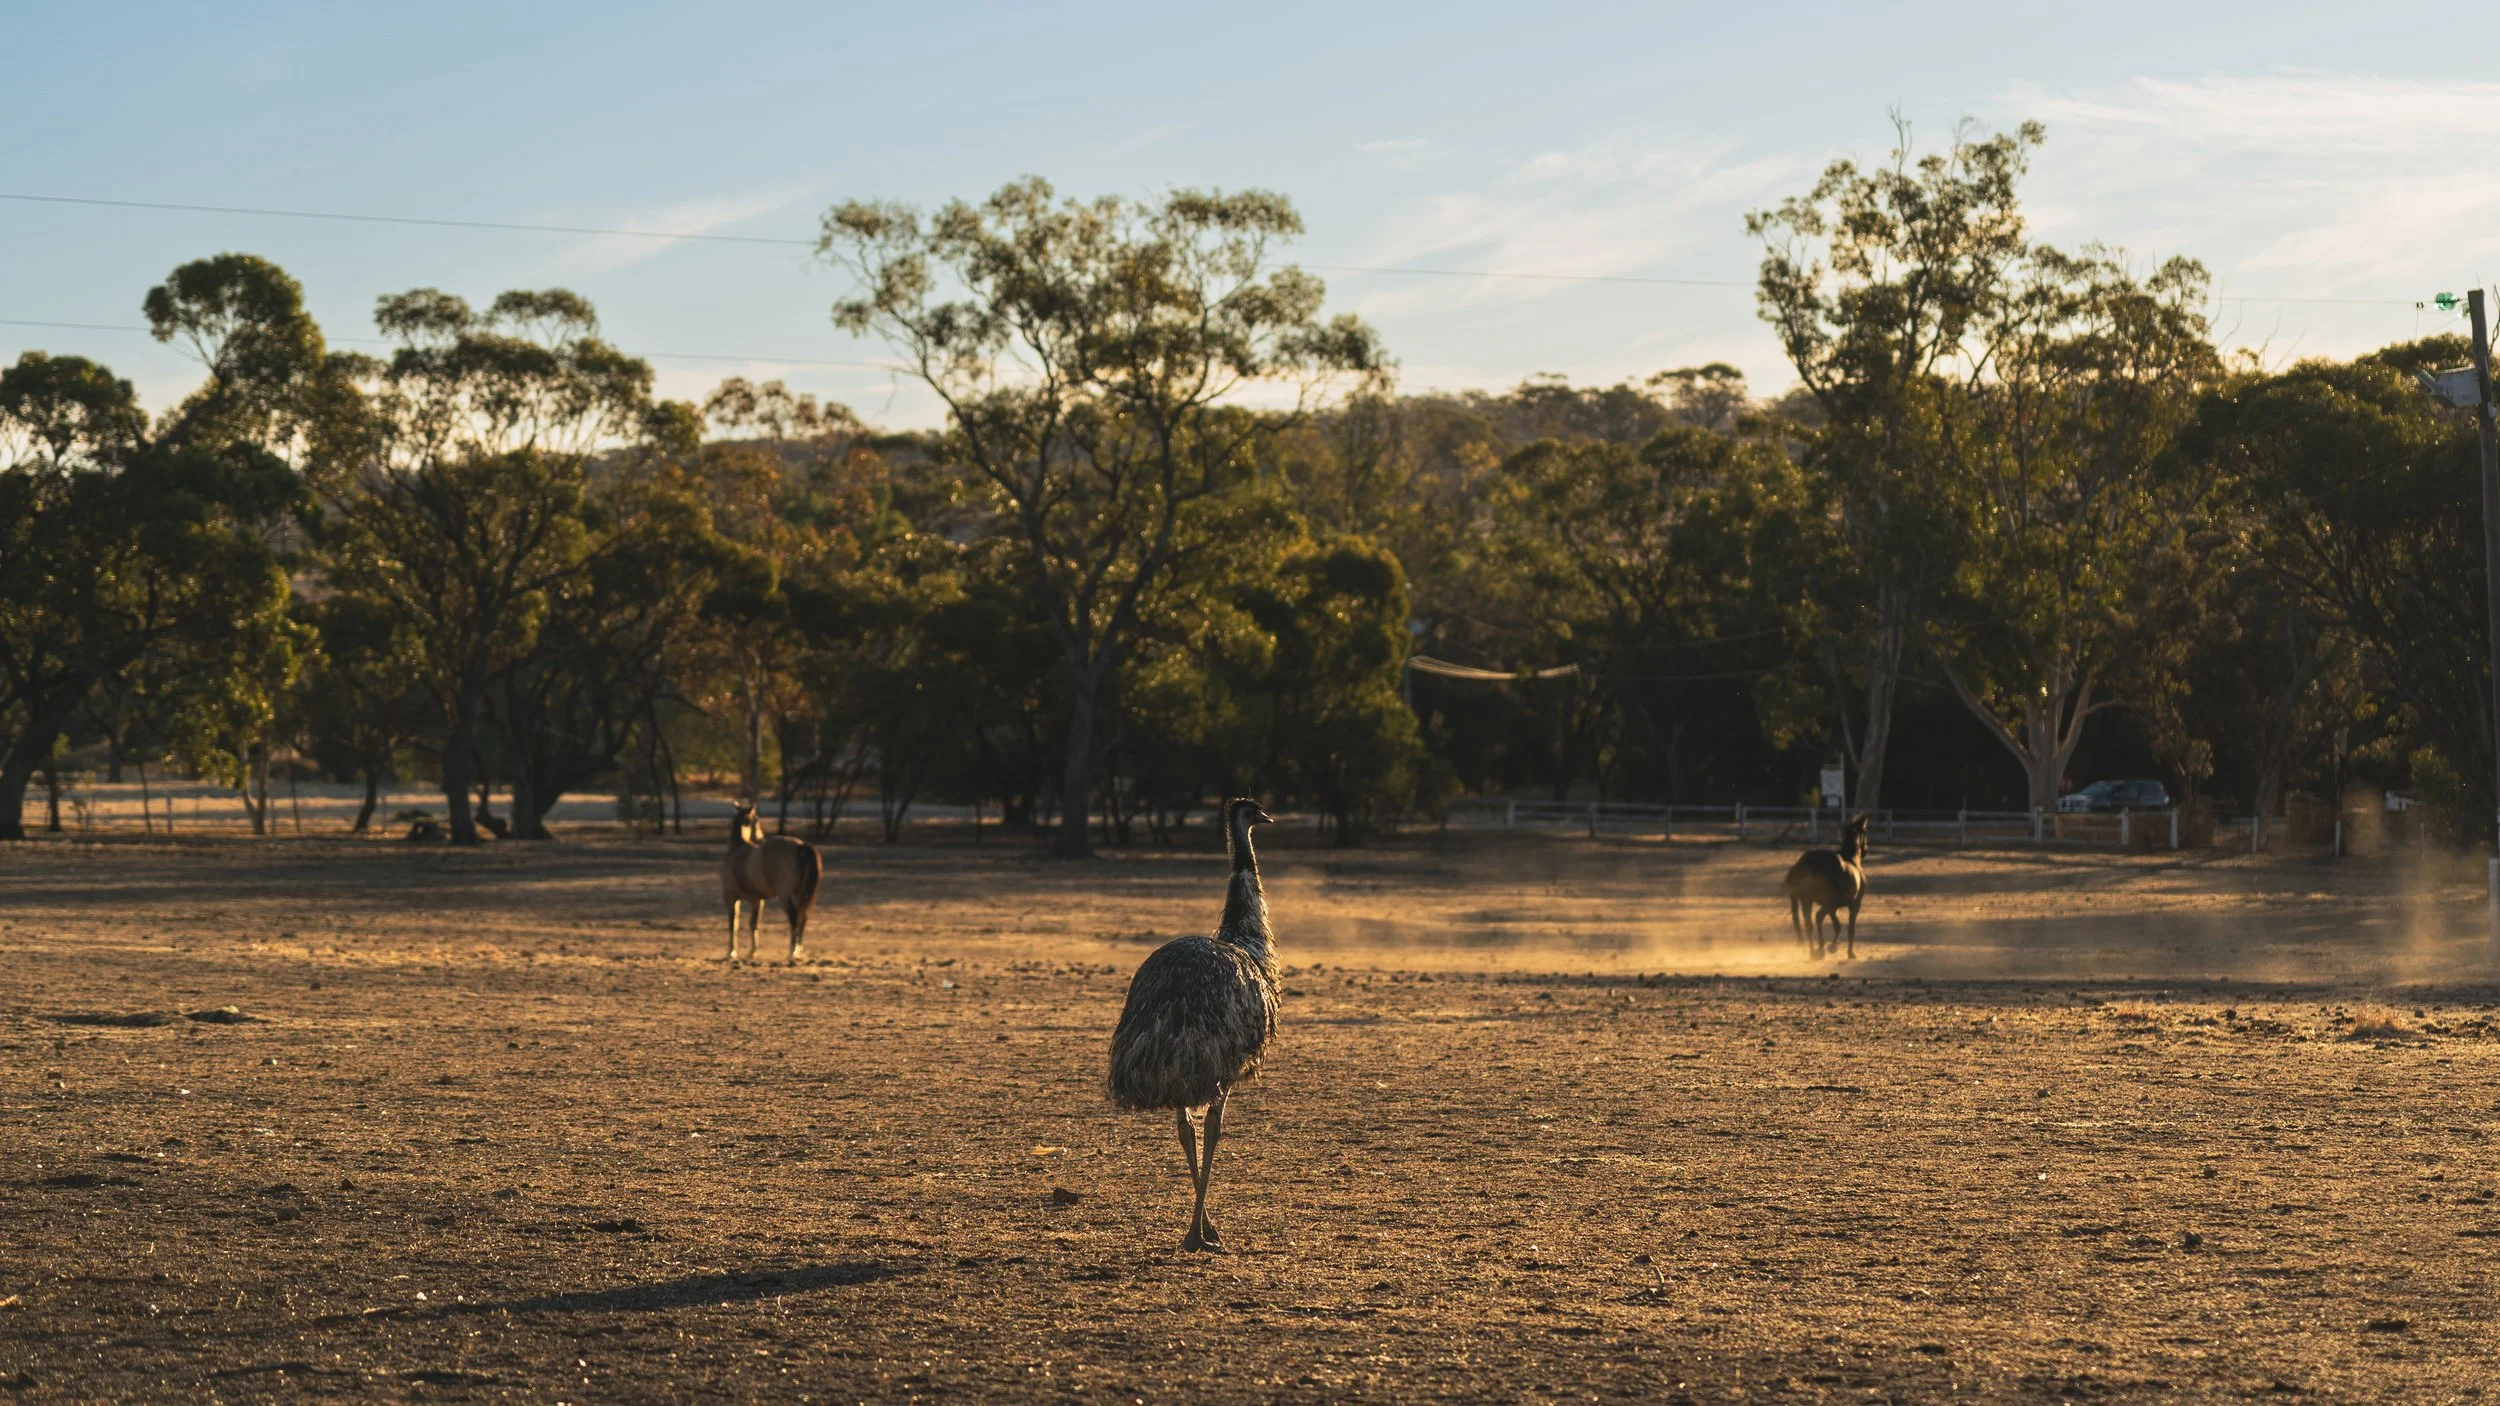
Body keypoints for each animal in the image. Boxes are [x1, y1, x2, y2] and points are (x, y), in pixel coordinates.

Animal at [720, 801, 822, 965]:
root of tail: (801, 846)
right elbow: (754, 924)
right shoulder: (757, 900)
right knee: (802, 918)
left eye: (757, 820)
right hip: (799, 895)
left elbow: (733, 924)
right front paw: (752, 953)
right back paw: (798, 952)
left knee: (794, 918)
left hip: (785, 896)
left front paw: (731, 953)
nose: (761, 838)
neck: (737, 849)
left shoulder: (731, 897)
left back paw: (792, 952)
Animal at [1783, 814, 1867, 959]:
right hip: (1826, 902)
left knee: (1809, 924)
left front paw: (1833, 946)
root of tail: (1806, 863)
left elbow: (1837, 925)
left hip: (1807, 901)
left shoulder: (1833, 907)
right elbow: (1850, 928)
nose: (1865, 850)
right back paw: (1820, 948)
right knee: (1818, 918)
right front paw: (1849, 952)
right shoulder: (1854, 904)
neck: (1851, 859)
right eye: (1865, 832)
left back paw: (1813, 952)